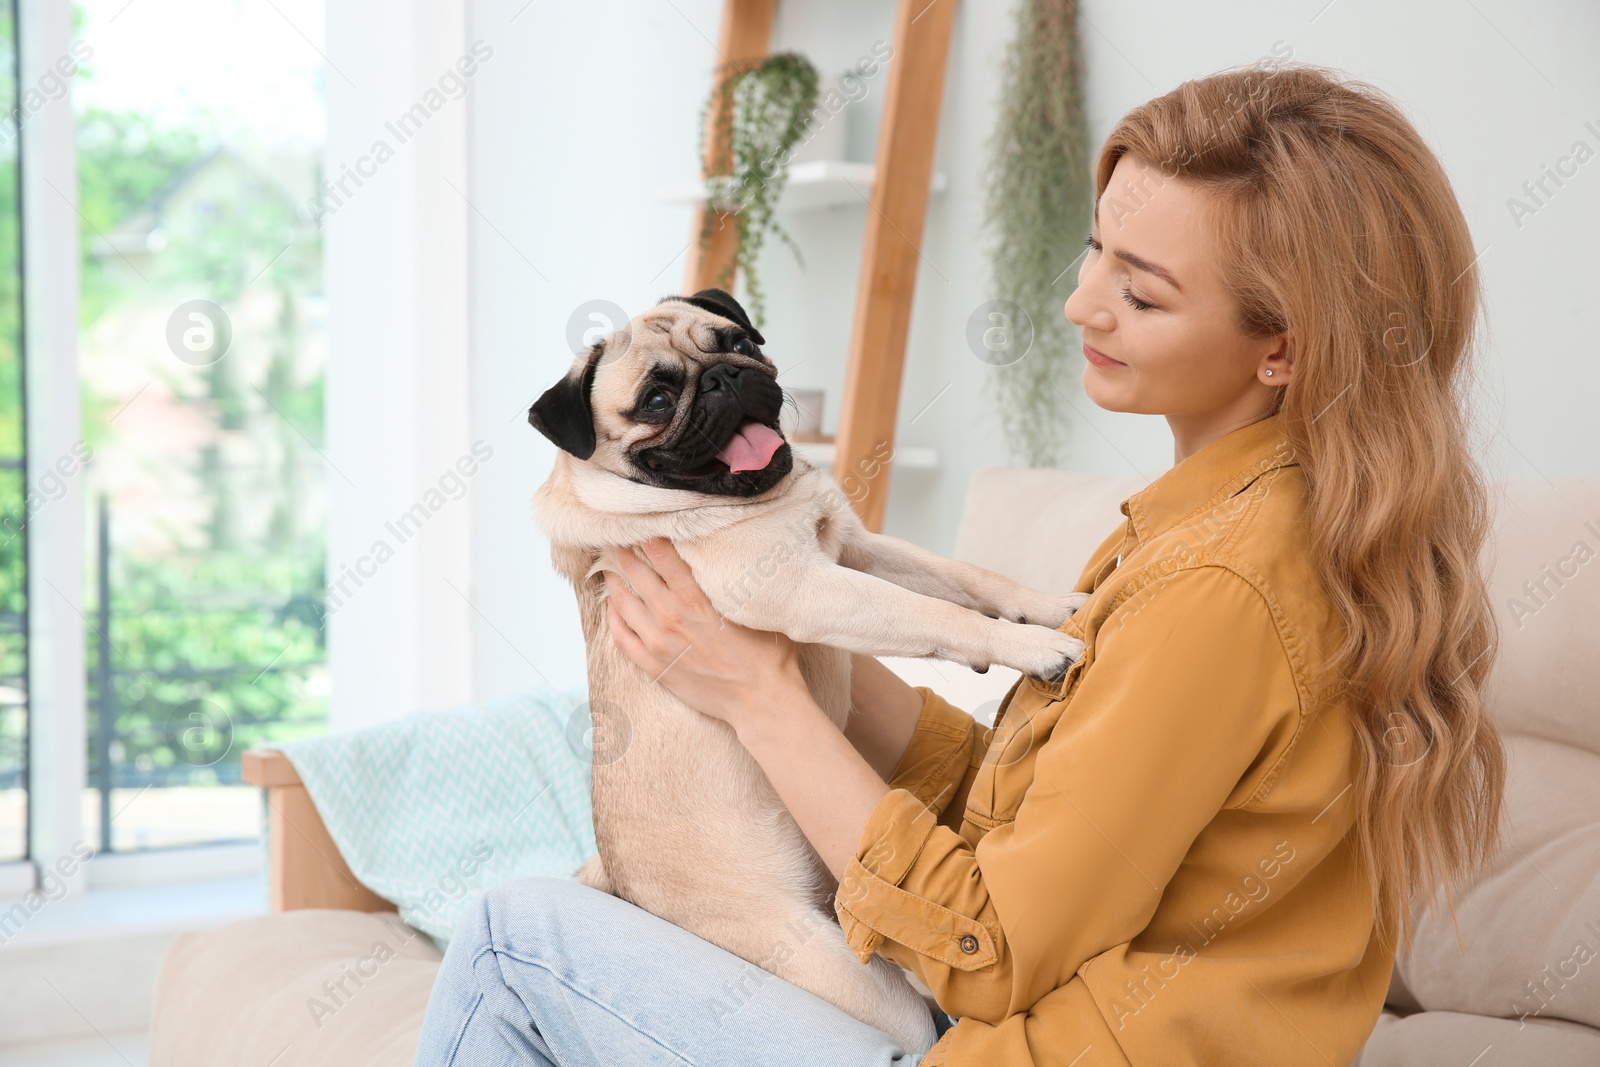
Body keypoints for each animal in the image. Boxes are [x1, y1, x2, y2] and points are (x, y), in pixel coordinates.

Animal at [524, 287, 1088, 1055]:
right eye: (657, 398)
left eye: (736, 342)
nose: (724, 379)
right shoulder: (802, 586)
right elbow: (936, 613)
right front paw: (1029, 646)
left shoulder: (852, 547)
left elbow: (963, 577)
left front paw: (1047, 608)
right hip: (849, 979)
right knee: (917, 1020)